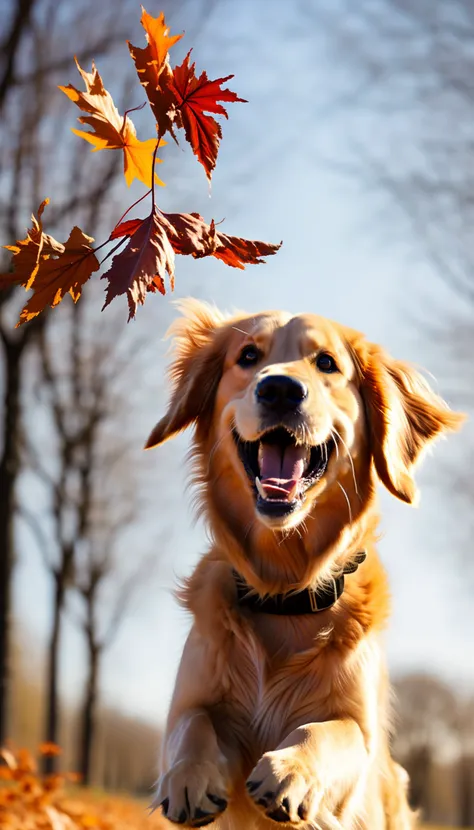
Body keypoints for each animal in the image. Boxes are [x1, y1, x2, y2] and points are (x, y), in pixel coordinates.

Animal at [145, 302, 462, 828]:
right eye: (248, 356)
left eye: (327, 363)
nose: (279, 389)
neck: (284, 591)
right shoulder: (189, 697)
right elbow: (191, 725)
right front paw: (190, 777)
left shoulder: (360, 731)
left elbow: (333, 731)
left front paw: (288, 771)